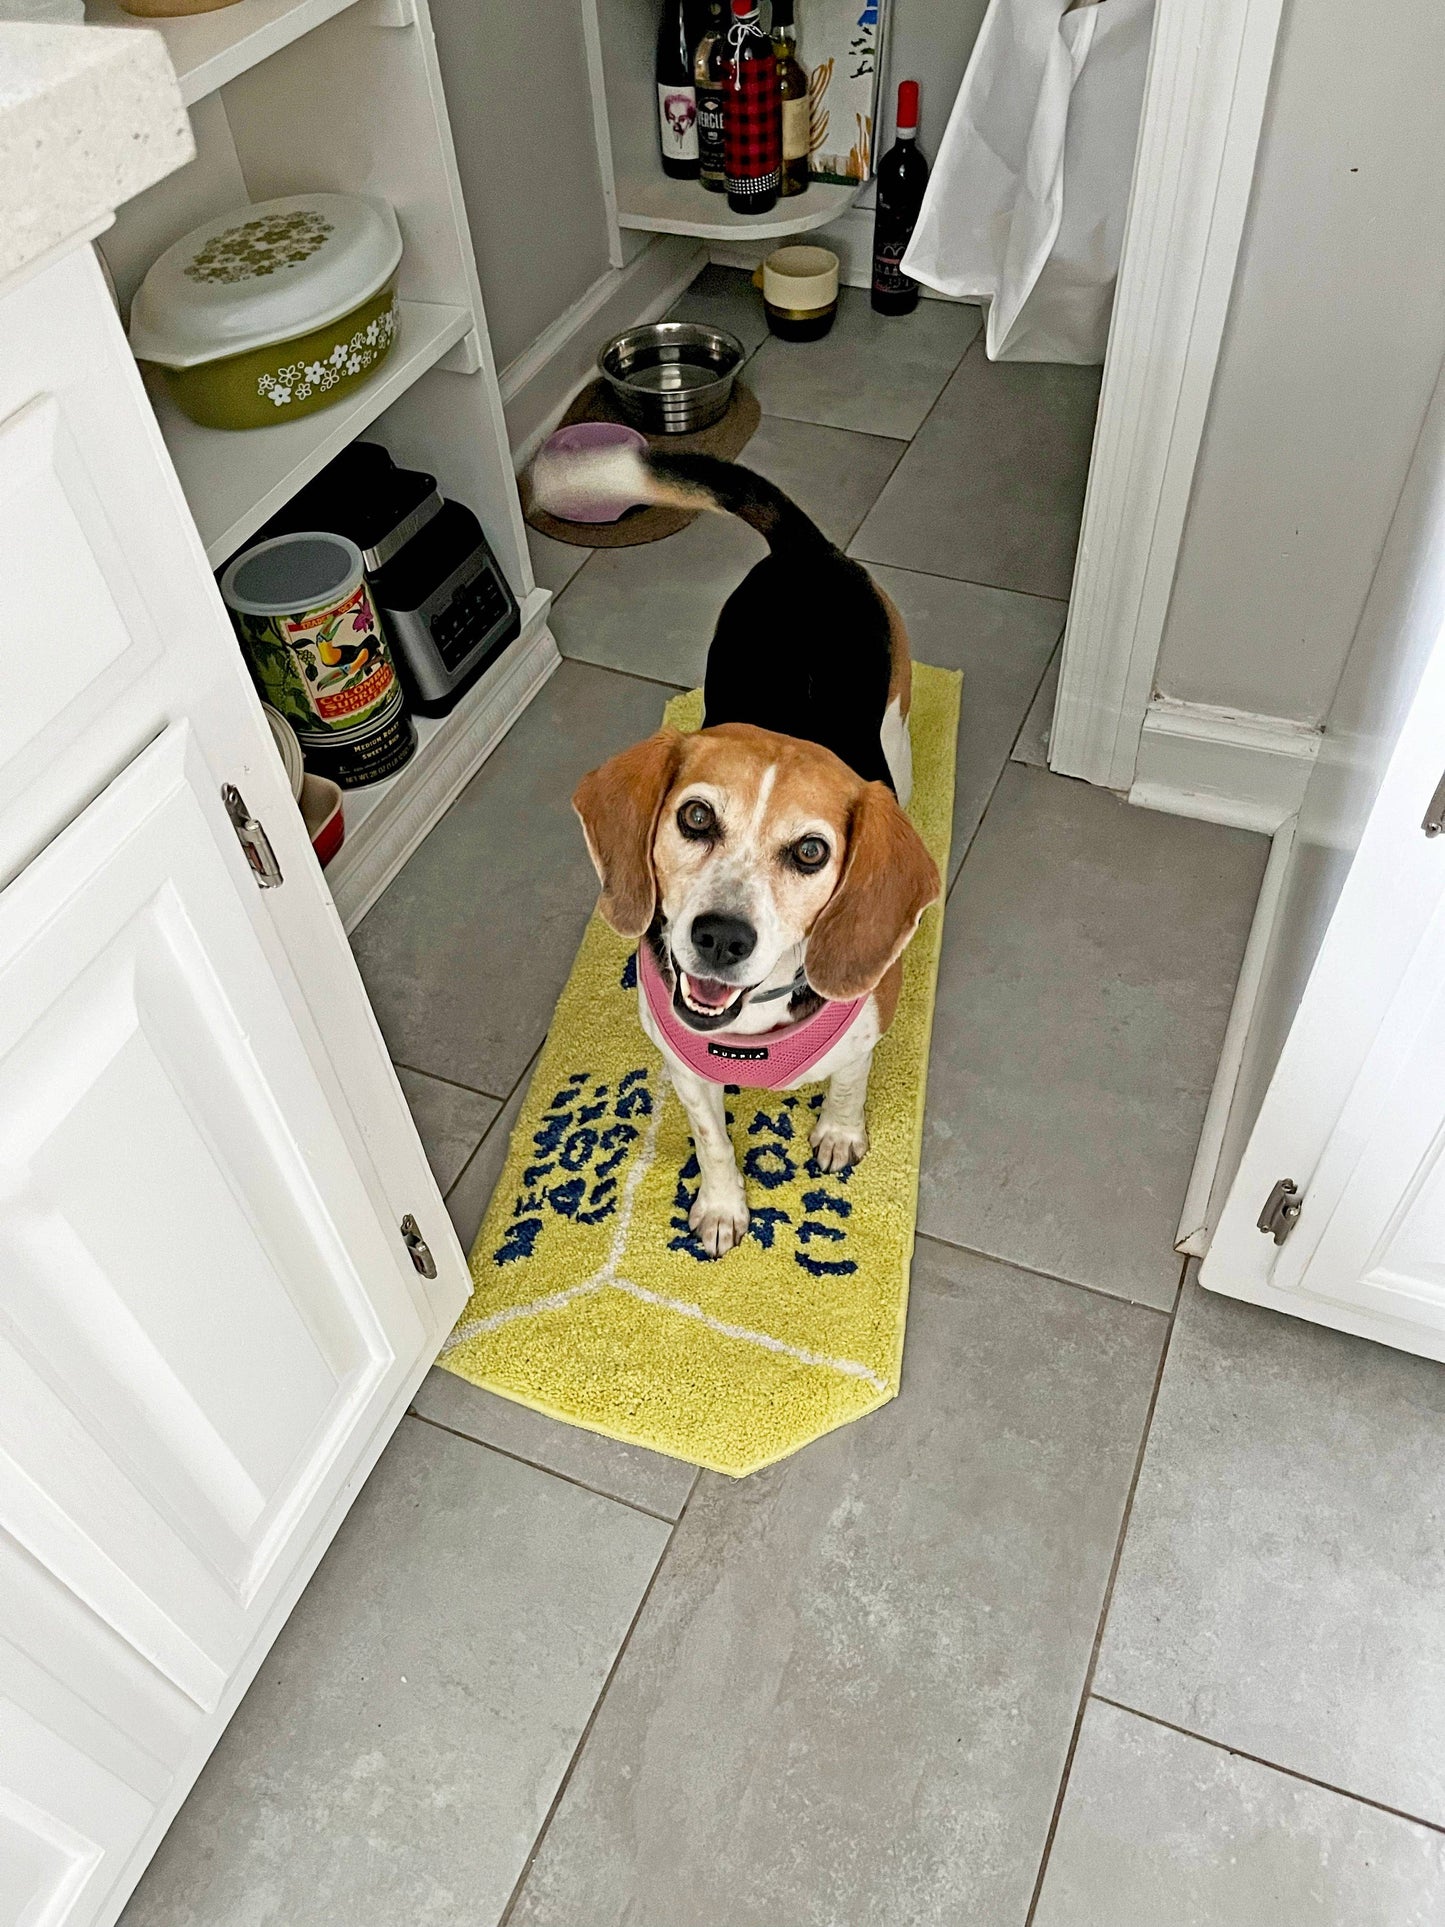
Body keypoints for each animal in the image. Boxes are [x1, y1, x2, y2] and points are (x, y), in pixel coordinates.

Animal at [531, 450, 940, 1264]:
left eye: (811, 851)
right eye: (695, 816)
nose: (720, 937)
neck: (752, 1025)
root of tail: (809, 551)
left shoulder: (866, 1025)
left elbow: (849, 1082)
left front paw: (838, 1132)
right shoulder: (687, 1072)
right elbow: (713, 1141)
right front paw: (721, 1208)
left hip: (899, 729)